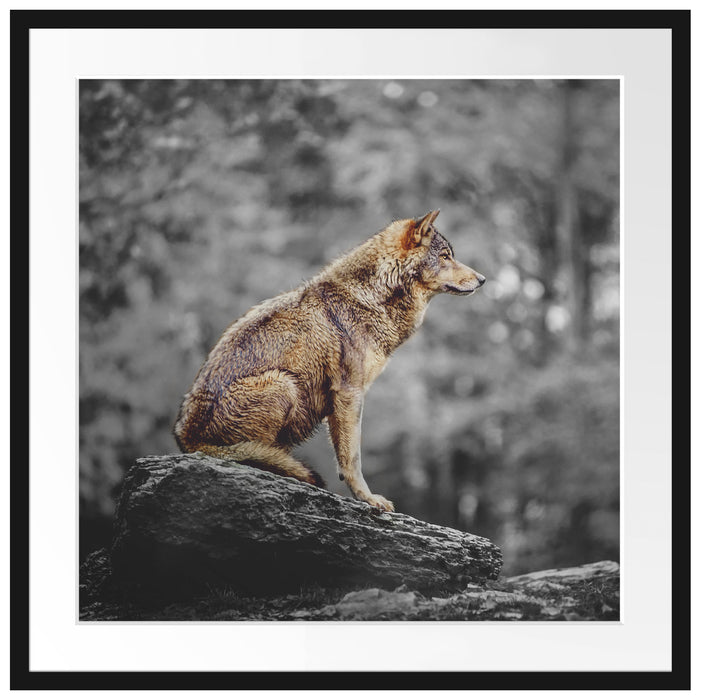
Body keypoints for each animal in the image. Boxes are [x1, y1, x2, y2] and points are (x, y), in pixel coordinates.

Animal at [173, 210, 485, 511]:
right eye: (445, 256)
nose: (483, 279)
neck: (370, 298)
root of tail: (187, 438)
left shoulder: (342, 400)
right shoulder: (349, 393)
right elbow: (352, 458)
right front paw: (368, 499)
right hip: (283, 384)